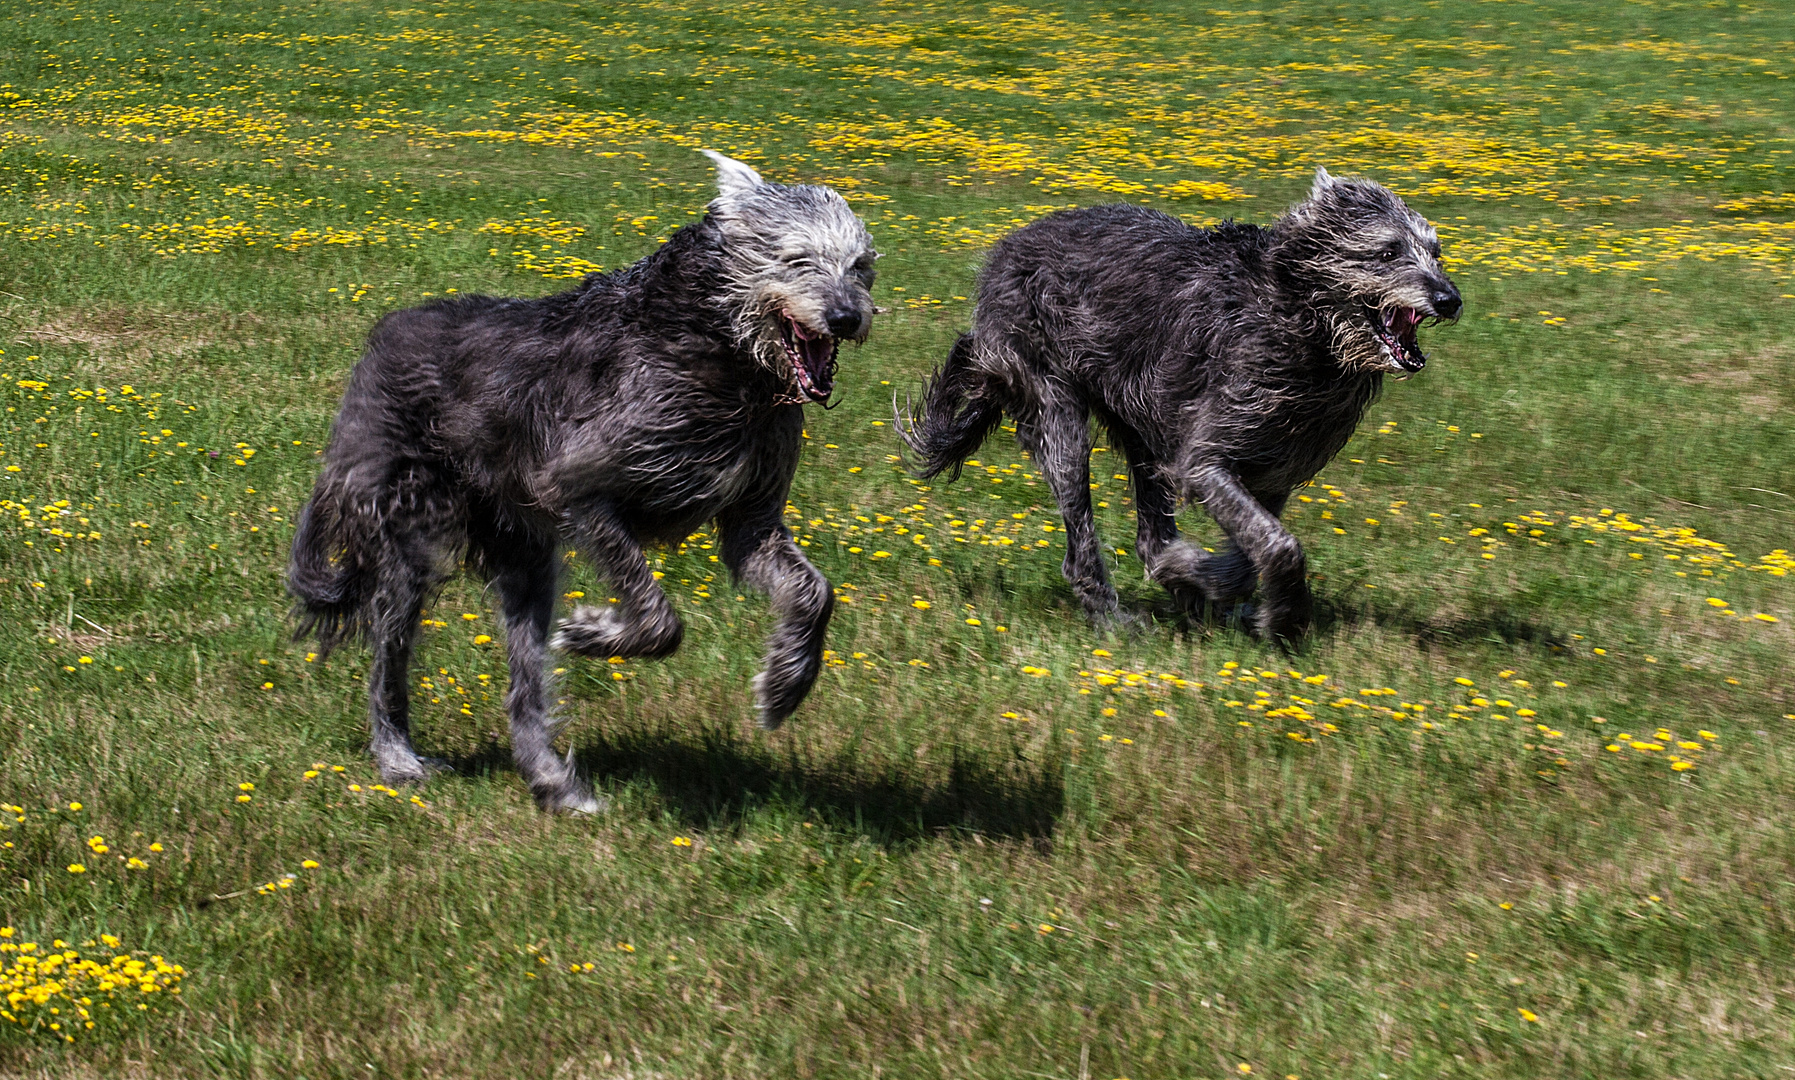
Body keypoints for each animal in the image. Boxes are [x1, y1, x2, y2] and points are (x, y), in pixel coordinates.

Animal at [287, 148, 875, 807]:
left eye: (861, 266)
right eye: (797, 258)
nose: (847, 317)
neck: (718, 352)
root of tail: (382, 341)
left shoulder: (754, 519)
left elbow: (813, 593)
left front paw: (784, 687)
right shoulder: (577, 485)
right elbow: (660, 618)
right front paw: (595, 634)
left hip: (525, 562)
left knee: (524, 685)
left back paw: (551, 780)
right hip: (405, 540)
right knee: (387, 654)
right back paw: (397, 757)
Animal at [897, 168, 1457, 638]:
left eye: (1436, 251)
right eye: (1387, 252)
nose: (1450, 300)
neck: (1295, 318)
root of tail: (1006, 249)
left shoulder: (1274, 468)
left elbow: (1254, 550)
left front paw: (1212, 586)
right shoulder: (1206, 458)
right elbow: (1277, 544)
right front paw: (1281, 616)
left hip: (1141, 422)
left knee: (1151, 534)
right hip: (1054, 401)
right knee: (1080, 525)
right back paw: (1114, 618)